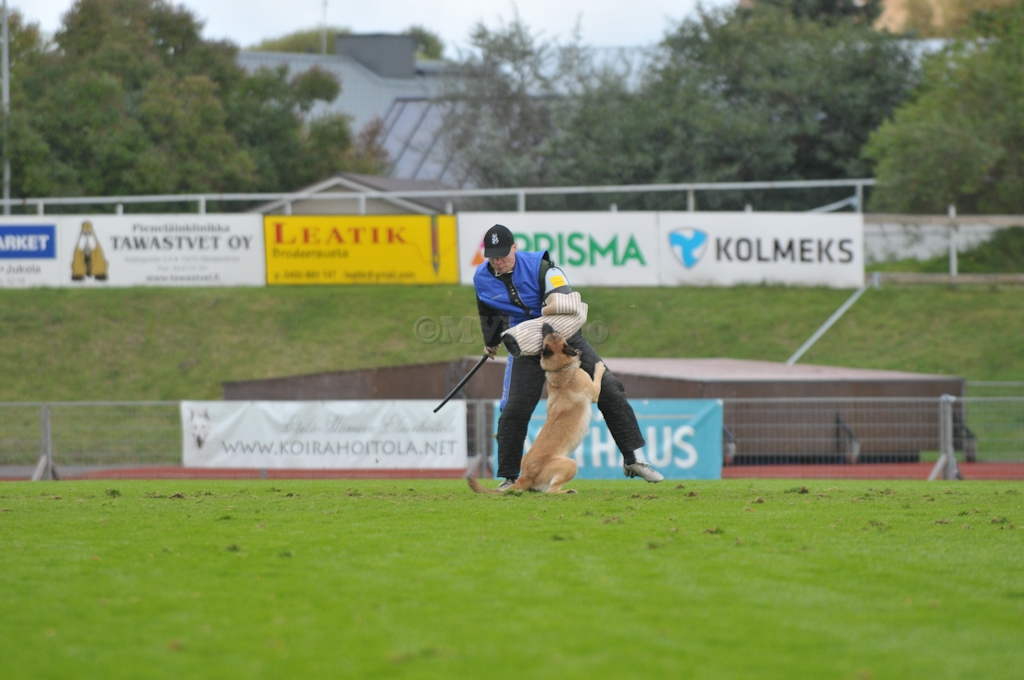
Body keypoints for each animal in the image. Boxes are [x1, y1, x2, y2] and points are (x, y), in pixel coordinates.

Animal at [468, 323, 605, 495]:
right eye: (554, 332)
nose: (545, 324)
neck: (560, 369)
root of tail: (525, 476)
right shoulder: (593, 392)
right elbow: (597, 378)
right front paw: (599, 367)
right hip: (570, 464)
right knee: (551, 491)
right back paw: (568, 492)